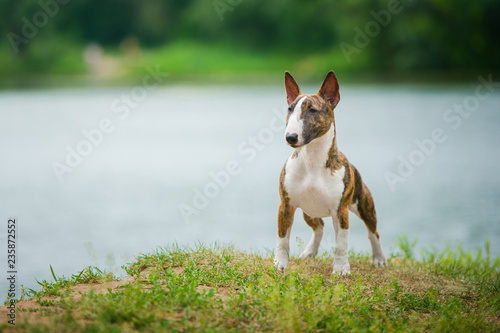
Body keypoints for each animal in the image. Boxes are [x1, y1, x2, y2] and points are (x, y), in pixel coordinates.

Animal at [276, 69, 388, 272]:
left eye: (312, 110)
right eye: (290, 109)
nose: (290, 137)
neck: (313, 160)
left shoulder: (341, 211)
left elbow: (341, 243)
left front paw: (341, 268)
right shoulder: (286, 205)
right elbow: (282, 238)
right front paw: (280, 264)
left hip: (364, 205)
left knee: (373, 231)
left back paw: (379, 258)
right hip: (309, 211)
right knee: (319, 226)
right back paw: (309, 251)